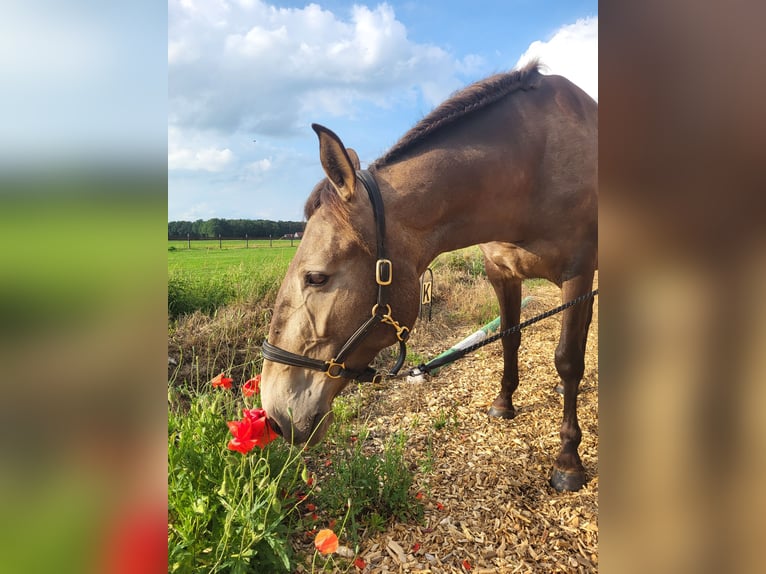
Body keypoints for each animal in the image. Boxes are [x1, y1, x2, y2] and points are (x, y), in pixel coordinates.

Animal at [260, 60, 597, 491]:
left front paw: (568, 460)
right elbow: (510, 338)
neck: (531, 167)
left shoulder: (577, 273)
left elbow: (567, 359)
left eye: (316, 278)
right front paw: (504, 403)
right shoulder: (502, 274)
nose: (275, 414)